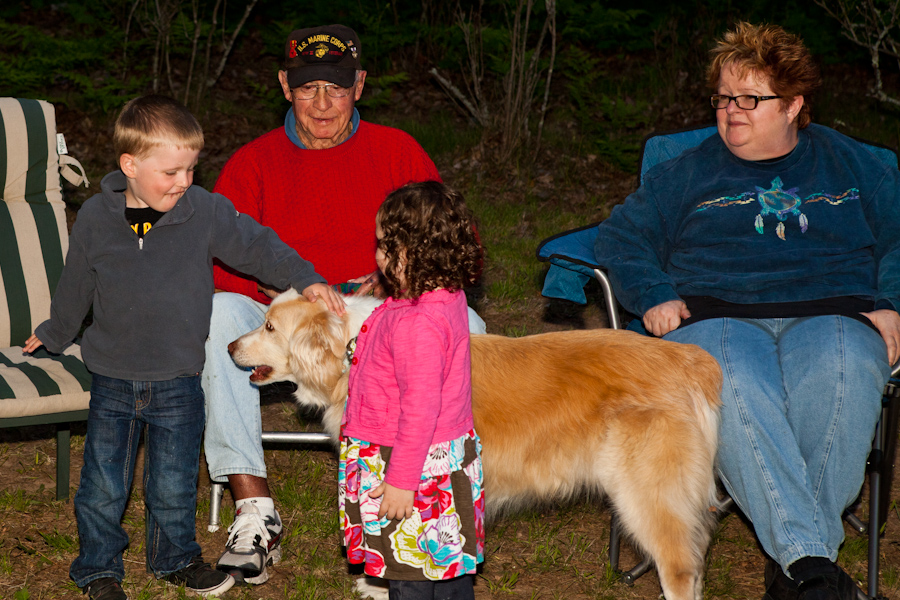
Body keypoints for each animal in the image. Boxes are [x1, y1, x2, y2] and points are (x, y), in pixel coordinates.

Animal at [229, 288, 720, 596]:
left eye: (269, 327)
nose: (229, 347)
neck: (350, 348)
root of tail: (689, 359)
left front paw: (381, 586)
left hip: (647, 498)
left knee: (680, 571)